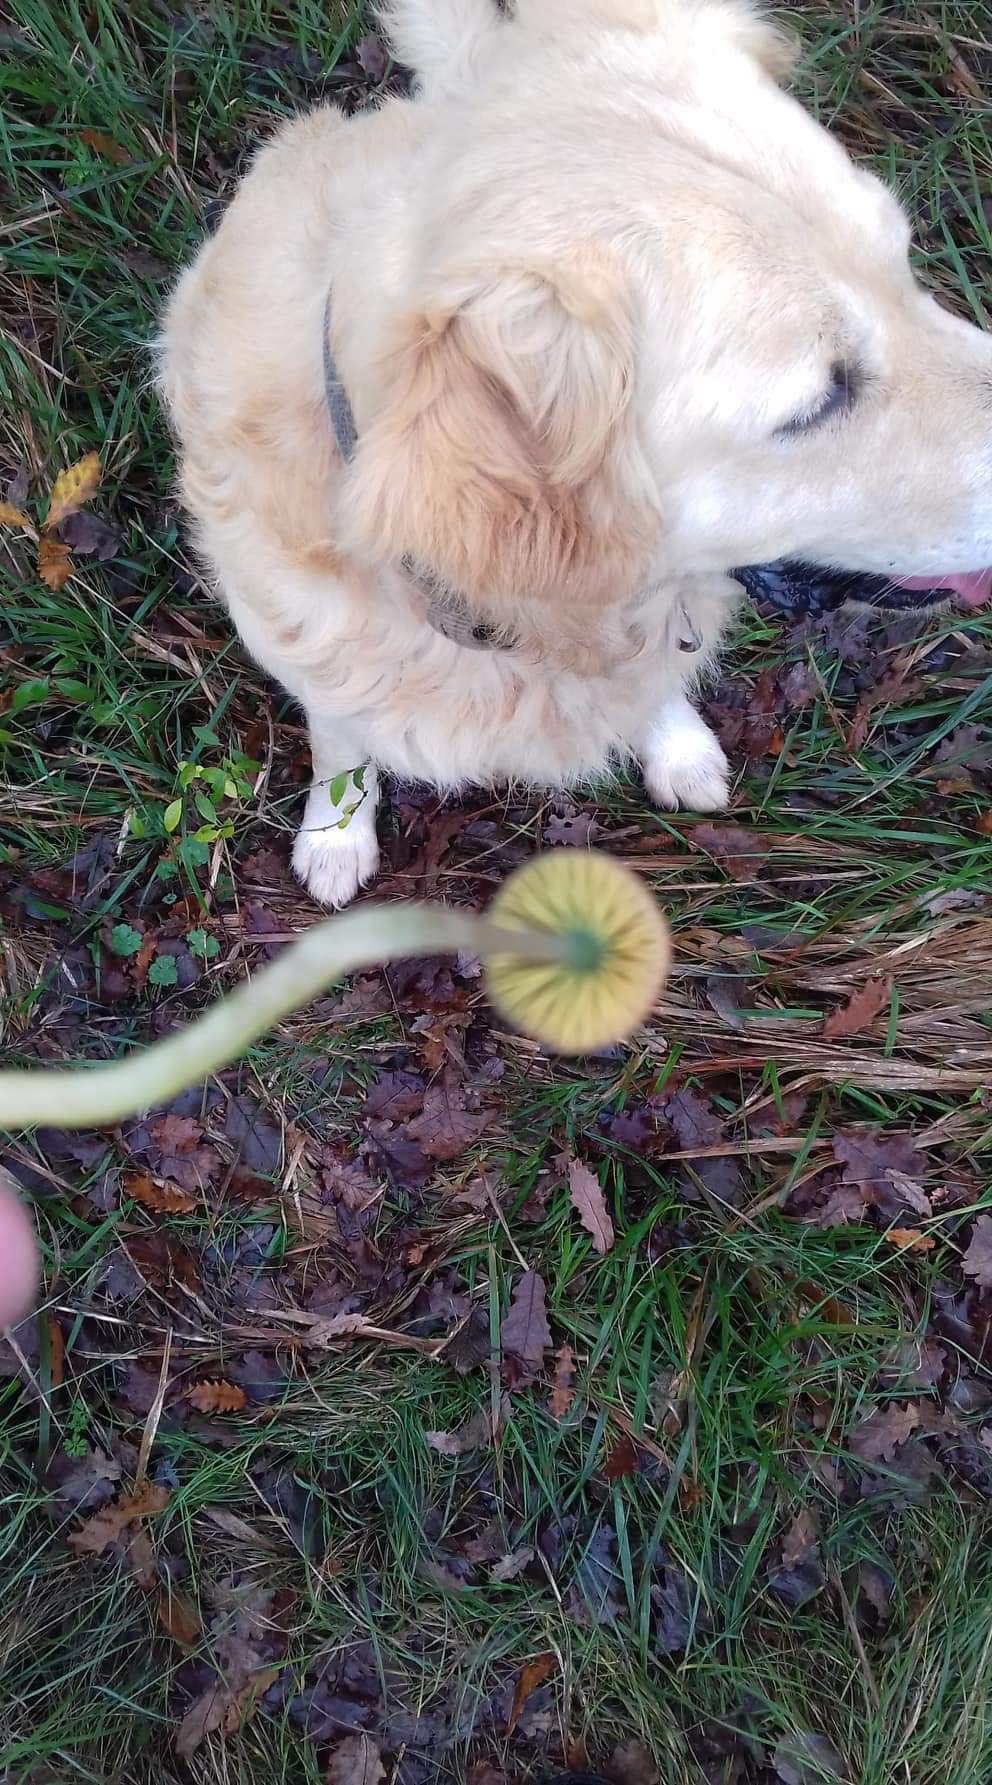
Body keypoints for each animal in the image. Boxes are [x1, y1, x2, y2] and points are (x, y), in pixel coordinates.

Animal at [159, 0, 992, 907]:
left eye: (906, 270)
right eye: (820, 400)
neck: (521, 625)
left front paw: (676, 746)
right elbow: (344, 743)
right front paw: (337, 837)